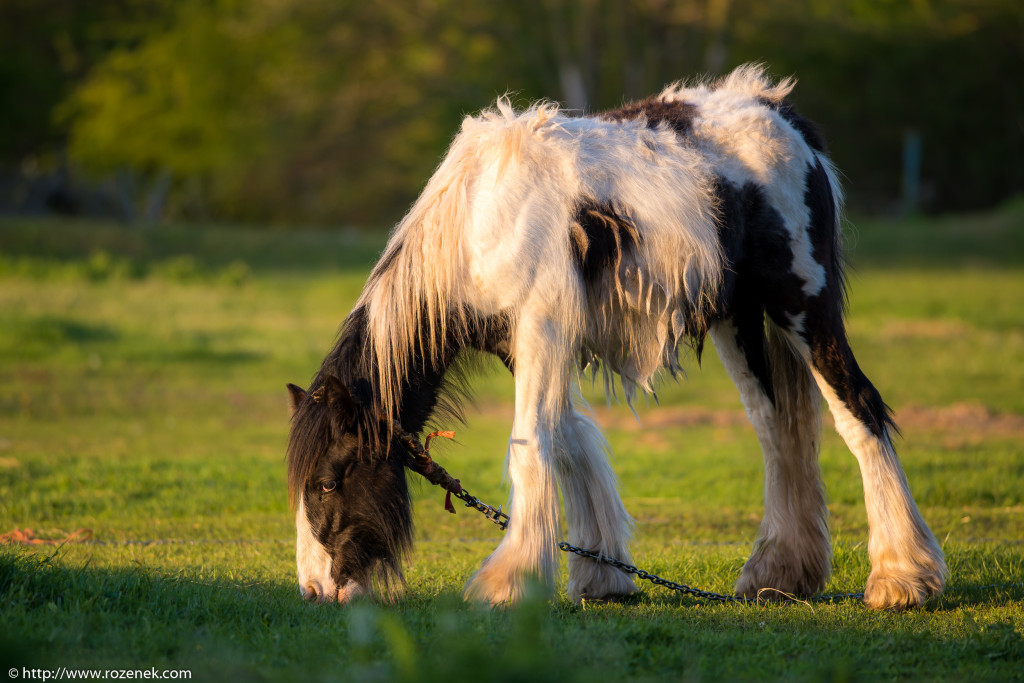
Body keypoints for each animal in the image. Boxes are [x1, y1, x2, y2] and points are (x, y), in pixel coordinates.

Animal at [284, 63, 946, 610]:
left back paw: (901, 578)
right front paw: (601, 576)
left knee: (857, 408)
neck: (481, 222)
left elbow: (532, 443)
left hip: (802, 305)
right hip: (739, 323)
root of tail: (781, 115)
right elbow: (570, 440)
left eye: (326, 482)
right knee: (776, 426)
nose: (315, 590)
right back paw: (779, 574)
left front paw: (508, 583)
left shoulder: (543, 329)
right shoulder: (525, 345)